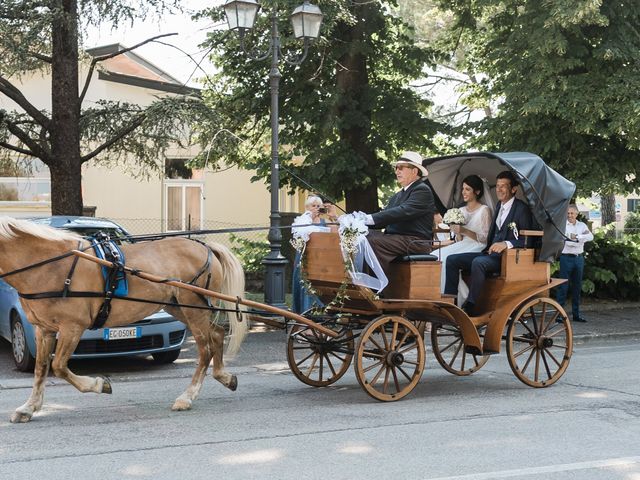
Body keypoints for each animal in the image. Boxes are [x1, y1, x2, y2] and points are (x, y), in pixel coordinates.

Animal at [0, 218, 248, 424]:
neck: (50, 265)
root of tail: (206, 247)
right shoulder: (44, 330)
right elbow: (41, 368)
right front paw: (28, 408)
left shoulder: (72, 327)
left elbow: (58, 367)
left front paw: (100, 384)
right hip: (181, 307)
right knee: (217, 334)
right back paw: (224, 377)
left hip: (193, 310)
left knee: (205, 349)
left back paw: (187, 396)